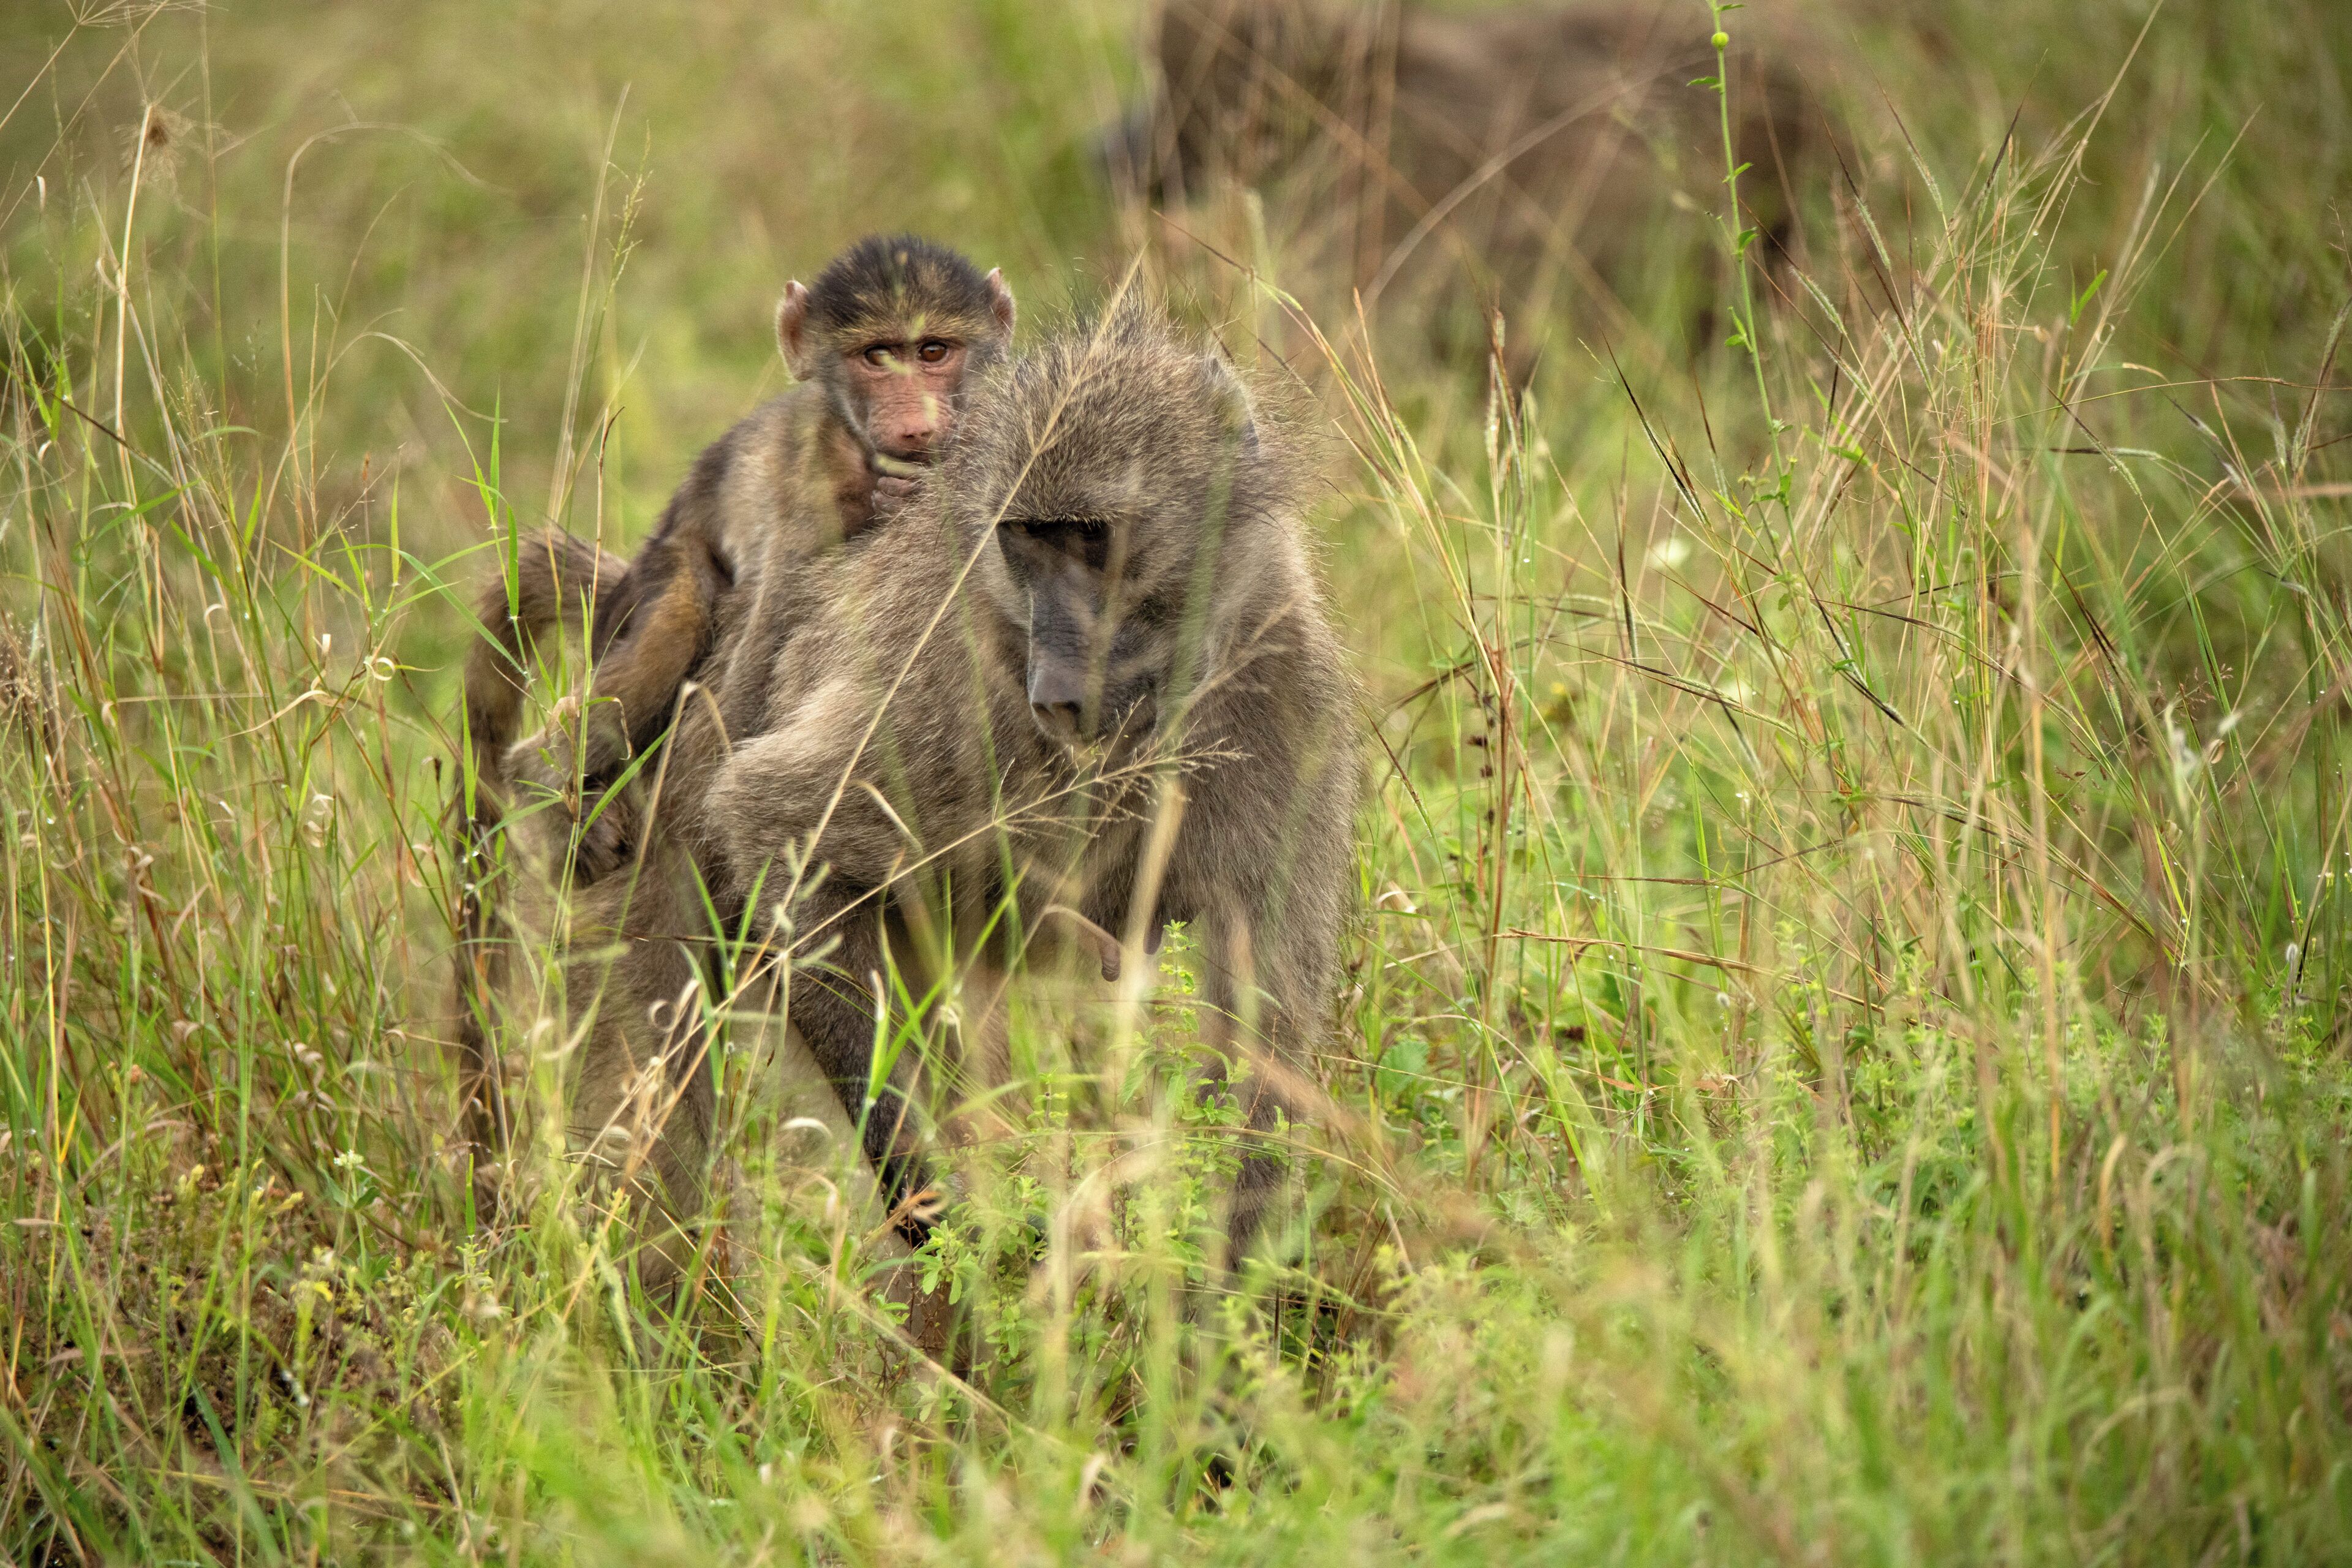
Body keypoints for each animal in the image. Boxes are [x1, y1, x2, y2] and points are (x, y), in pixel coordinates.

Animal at [699, 300, 1359, 1269]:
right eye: (1023, 541)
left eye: (1093, 537)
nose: (1056, 694)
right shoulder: (947, 693)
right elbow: (777, 828)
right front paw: (948, 1216)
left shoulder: (1288, 693)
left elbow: (1261, 1020)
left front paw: (1219, 1298)